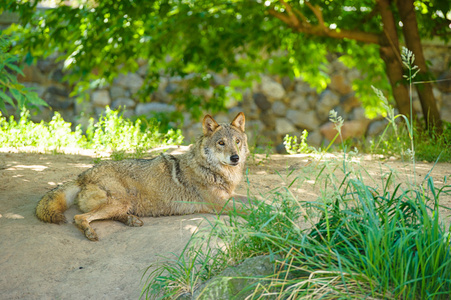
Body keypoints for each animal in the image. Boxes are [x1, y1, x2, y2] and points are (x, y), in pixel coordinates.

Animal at [36, 112, 251, 241]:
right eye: (221, 143)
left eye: (237, 141)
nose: (235, 158)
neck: (213, 170)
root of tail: (83, 174)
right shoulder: (219, 203)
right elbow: (248, 209)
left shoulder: (229, 196)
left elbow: (255, 199)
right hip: (120, 200)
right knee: (80, 217)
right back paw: (91, 231)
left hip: (123, 203)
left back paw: (131, 220)